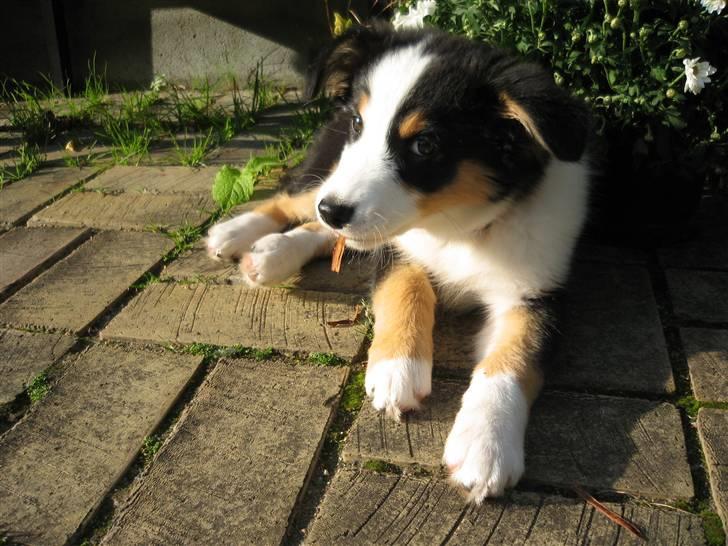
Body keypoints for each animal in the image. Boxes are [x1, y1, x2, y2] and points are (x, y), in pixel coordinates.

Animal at [205, 22, 592, 502]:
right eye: (360, 124)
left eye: (425, 145)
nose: (335, 208)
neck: (458, 228)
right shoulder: (396, 249)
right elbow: (407, 288)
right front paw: (398, 370)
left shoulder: (538, 291)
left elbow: (515, 355)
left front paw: (485, 444)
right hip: (328, 172)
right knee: (296, 201)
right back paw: (237, 234)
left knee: (323, 228)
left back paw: (270, 254)